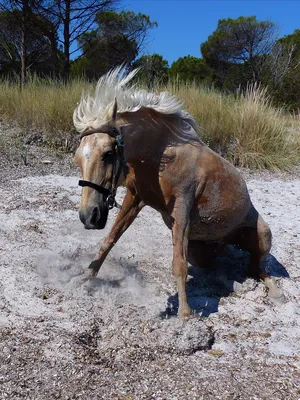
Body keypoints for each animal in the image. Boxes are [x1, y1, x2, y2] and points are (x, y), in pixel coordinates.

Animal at [73, 67, 284, 320]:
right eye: (77, 159)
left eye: (107, 154)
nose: (89, 217)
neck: (161, 155)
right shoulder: (135, 198)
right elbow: (110, 239)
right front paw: (86, 276)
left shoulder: (181, 208)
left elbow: (178, 265)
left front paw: (184, 314)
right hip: (202, 251)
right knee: (224, 266)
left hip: (263, 236)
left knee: (257, 268)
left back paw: (274, 290)